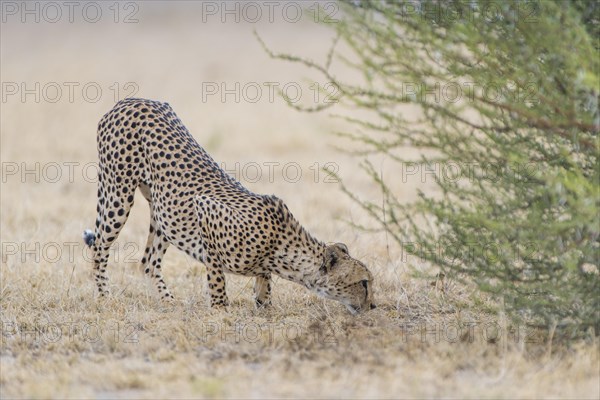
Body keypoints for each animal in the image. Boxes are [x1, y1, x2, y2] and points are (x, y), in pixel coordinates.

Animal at [84, 97, 376, 312]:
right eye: (363, 283)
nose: (373, 306)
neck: (282, 247)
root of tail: (130, 100)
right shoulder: (207, 212)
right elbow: (217, 276)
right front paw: (220, 309)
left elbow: (264, 285)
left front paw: (264, 304)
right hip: (118, 192)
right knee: (99, 247)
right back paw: (104, 297)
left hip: (160, 209)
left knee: (148, 261)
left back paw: (168, 301)